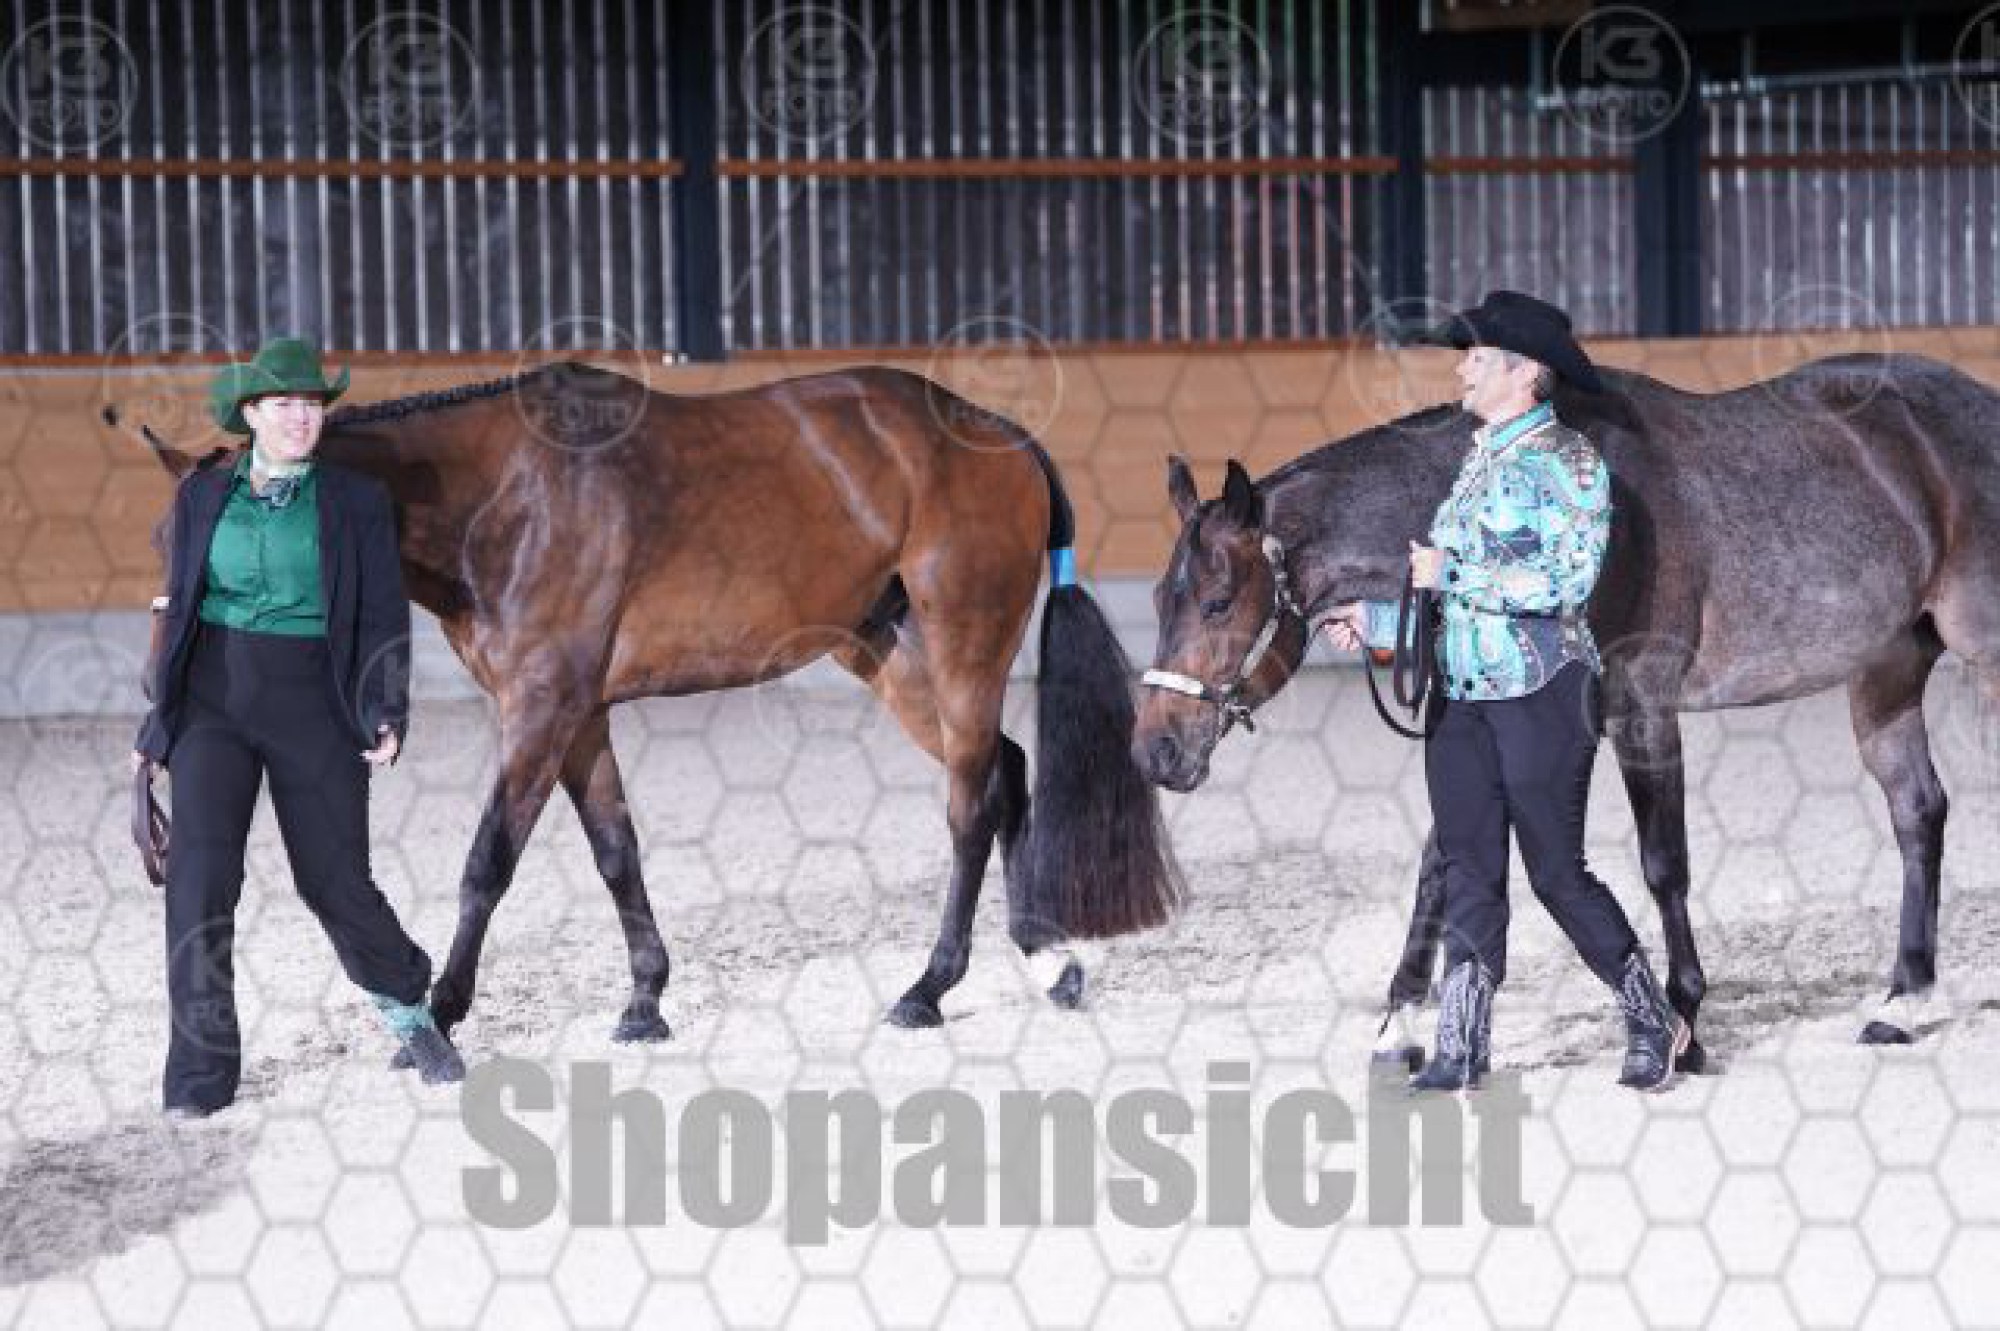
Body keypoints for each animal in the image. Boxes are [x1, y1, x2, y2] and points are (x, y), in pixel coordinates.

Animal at [128, 362, 1184, 1050]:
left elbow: (487, 863)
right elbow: (615, 853)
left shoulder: (540, 709)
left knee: (971, 803)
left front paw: (443, 1008)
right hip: (882, 652)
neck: (503, 494)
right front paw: (645, 1001)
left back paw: (929, 987)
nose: (159, 701)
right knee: (1003, 770)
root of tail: (1001, 433)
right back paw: (1048, 960)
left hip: (962, 643)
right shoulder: (577, 715)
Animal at [1131, 352, 2000, 1072]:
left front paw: (1684, 1028)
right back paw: (1901, 1000)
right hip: (1886, 670)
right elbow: (1439, 866)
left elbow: (1664, 865)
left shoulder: (1641, 703)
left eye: (1216, 602)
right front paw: (1401, 1024)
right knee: (1918, 811)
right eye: (1160, 599)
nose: (1156, 753)